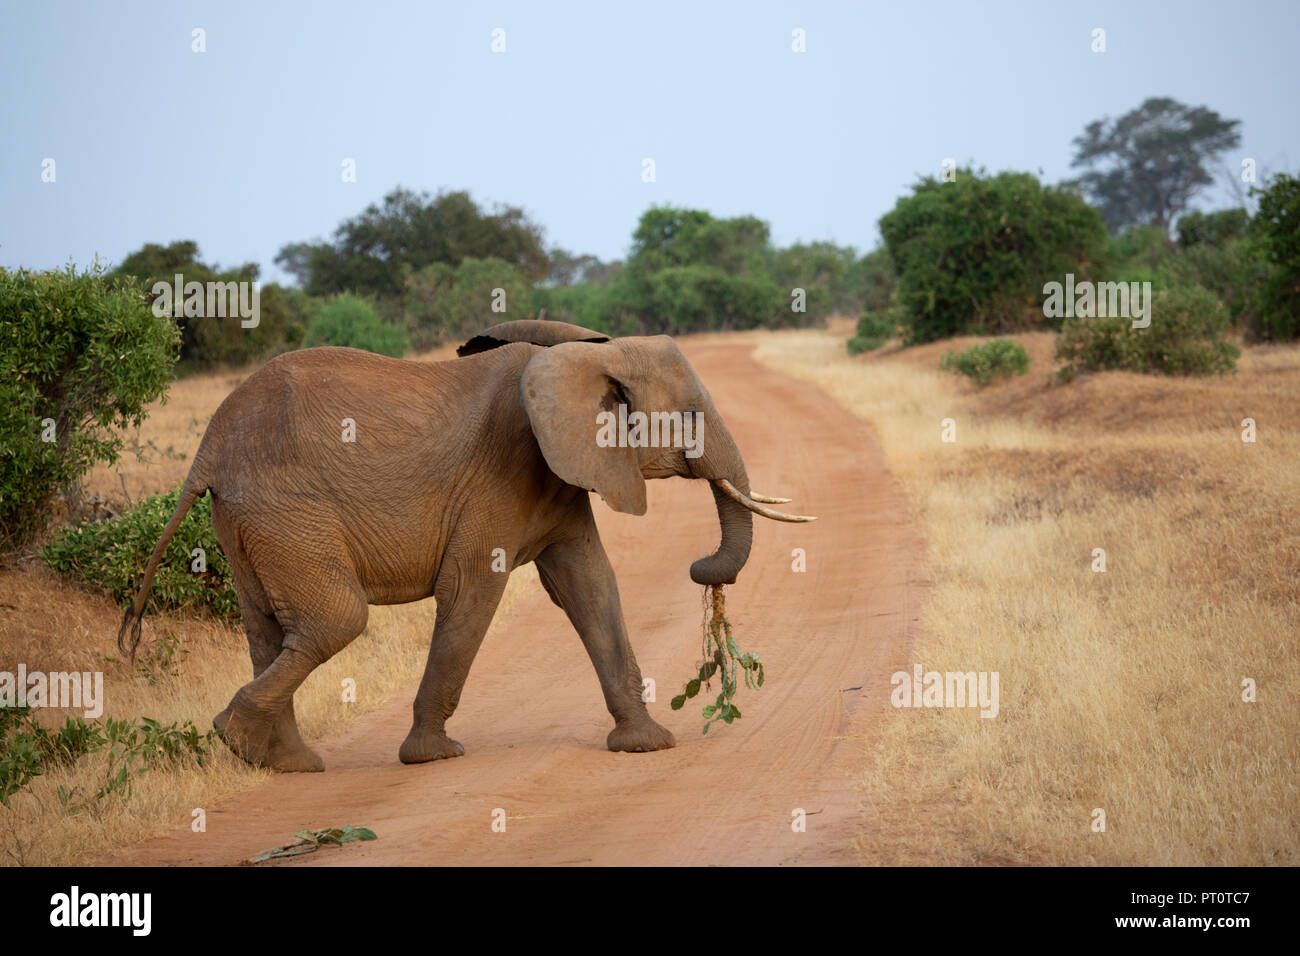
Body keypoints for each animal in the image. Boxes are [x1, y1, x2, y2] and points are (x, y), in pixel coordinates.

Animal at [119, 319, 811, 770]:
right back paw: (236, 736)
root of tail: (209, 447)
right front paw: (432, 756)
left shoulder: (559, 475)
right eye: (690, 416)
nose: (703, 567)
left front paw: (646, 745)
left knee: (267, 627)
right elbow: (475, 590)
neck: (588, 358)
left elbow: (591, 587)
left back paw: (280, 761)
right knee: (336, 621)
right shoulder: (502, 475)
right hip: (286, 511)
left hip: (247, 521)